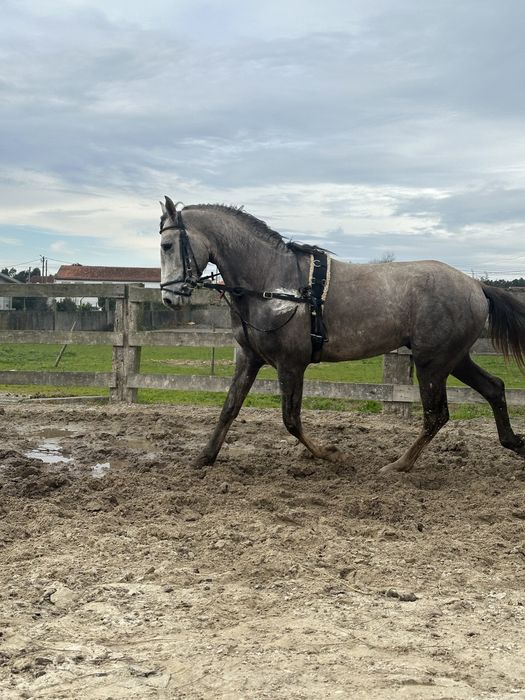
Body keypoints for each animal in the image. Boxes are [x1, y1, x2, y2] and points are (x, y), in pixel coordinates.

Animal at [158, 196, 525, 473]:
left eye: (166, 244)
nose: (169, 297)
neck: (273, 283)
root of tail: (475, 285)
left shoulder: (290, 364)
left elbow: (291, 420)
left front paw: (331, 453)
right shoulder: (249, 359)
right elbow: (229, 408)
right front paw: (204, 457)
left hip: (431, 363)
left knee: (437, 415)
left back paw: (398, 465)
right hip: (453, 359)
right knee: (494, 388)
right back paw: (514, 443)